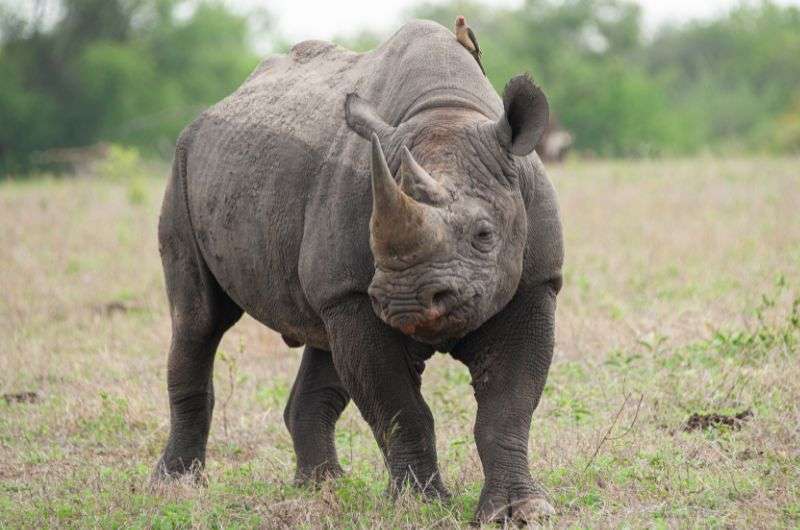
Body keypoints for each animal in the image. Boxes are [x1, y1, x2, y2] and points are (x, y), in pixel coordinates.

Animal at [152, 18, 564, 520]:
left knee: (320, 343)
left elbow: (507, 407)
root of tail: (215, 108)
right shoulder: (352, 294)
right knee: (199, 321)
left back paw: (321, 489)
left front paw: (522, 510)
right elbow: (399, 409)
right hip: (183, 163)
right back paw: (176, 487)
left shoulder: (535, 283)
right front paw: (417, 506)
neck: (447, 111)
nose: (407, 302)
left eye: (485, 235)